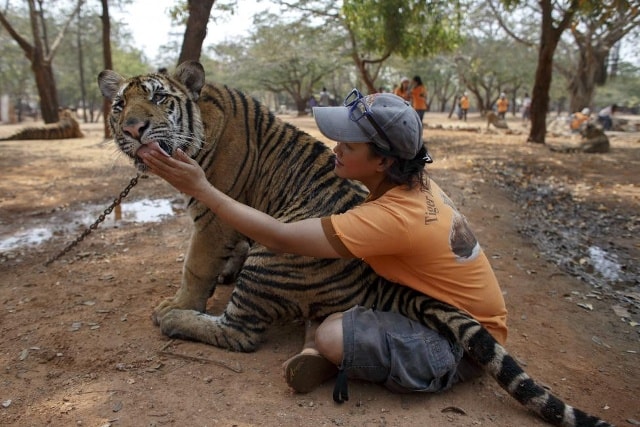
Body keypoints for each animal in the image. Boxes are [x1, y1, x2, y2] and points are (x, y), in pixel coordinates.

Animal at [99, 61, 608, 427]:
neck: (203, 121)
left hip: (272, 253)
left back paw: (176, 320)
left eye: (159, 99)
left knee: (240, 332)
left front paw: (179, 301)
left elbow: (195, 266)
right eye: (120, 105)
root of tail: (378, 284)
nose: (132, 129)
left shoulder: (212, 218)